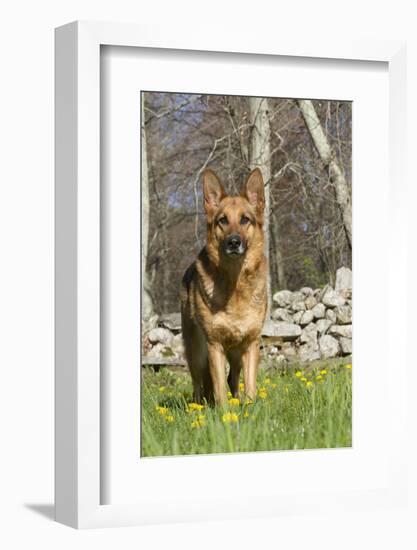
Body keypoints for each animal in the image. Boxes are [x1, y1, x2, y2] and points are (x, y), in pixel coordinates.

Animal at [181, 170, 266, 408]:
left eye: (245, 219)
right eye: (223, 221)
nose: (233, 242)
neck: (234, 282)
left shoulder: (250, 344)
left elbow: (249, 385)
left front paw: (249, 409)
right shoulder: (214, 345)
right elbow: (218, 388)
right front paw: (223, 413)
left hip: (235, 353)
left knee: (232, 378)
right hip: (197, 352)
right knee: (199, 382)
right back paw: (198, 407)